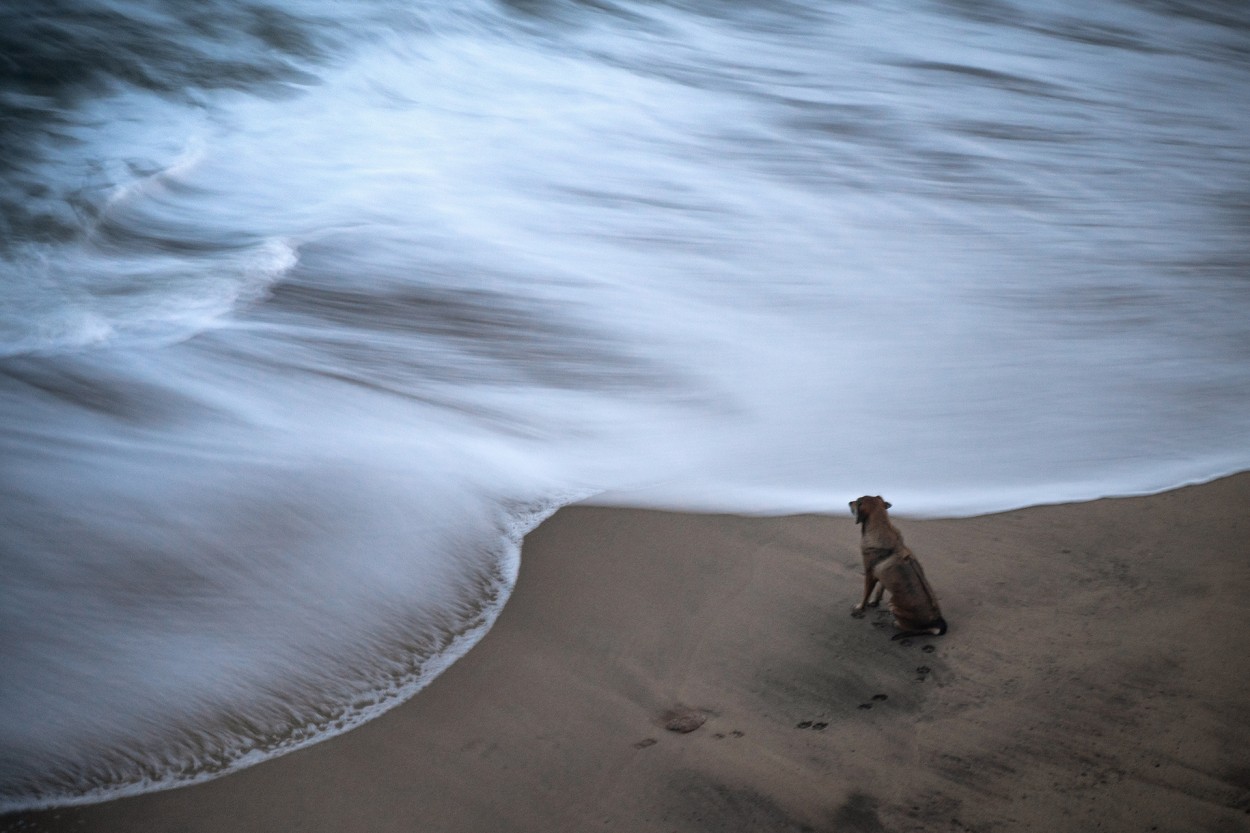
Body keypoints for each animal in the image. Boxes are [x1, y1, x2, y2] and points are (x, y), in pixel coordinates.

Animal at [850, 492, 945, 635]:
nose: (849, 502)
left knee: (910, 628)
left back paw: (896, 624)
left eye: (858, 501)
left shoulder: (869, 574)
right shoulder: (881, 576)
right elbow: (879, 590)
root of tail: (936, 622)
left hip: (893, 605)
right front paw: (875, 602)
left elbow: (866, 594)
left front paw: (861, 606)